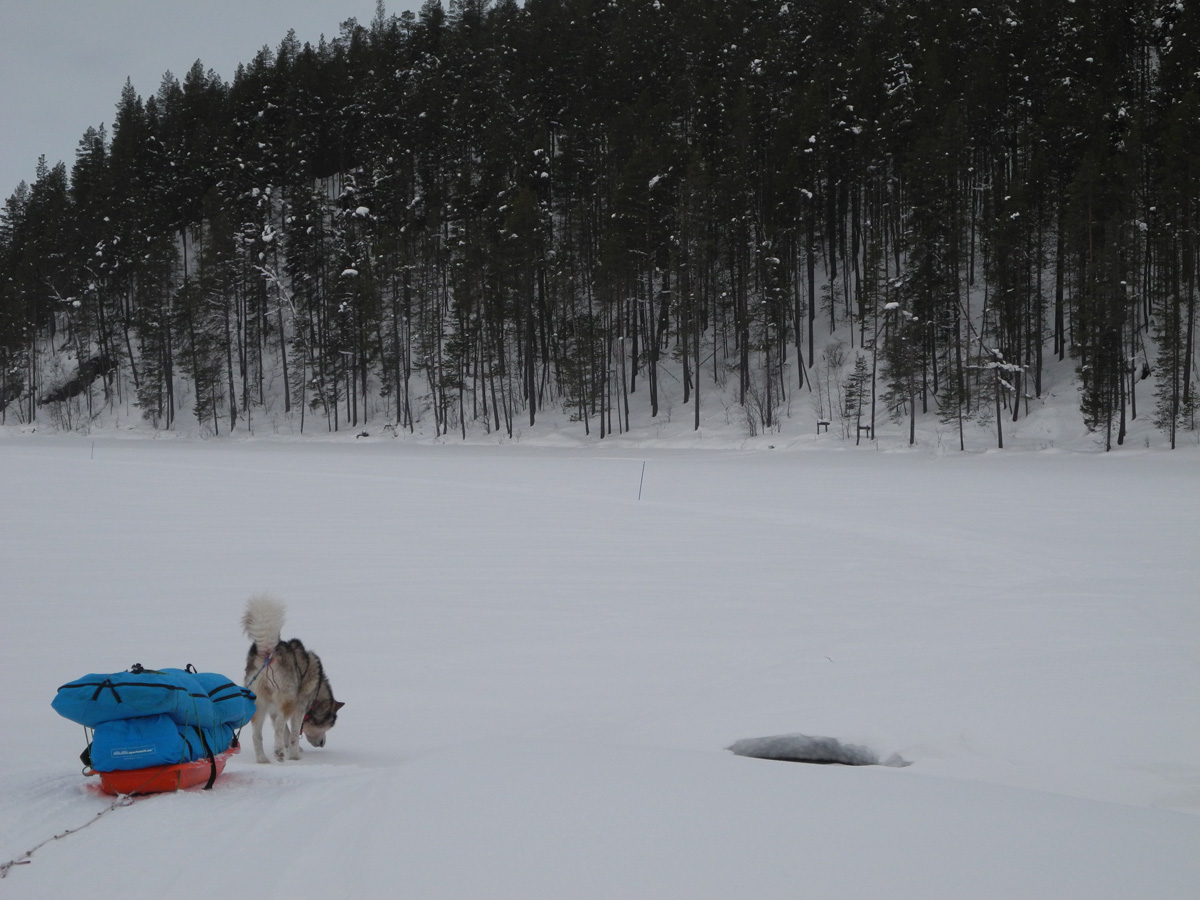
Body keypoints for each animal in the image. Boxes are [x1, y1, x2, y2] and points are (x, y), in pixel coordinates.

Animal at [238, 595, 343, 763]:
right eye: (328, 725)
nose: (322, 743)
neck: (317, 690)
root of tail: (268, 652)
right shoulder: (299, 708)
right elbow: (293, 734)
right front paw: (294, 754)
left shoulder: (273, 710)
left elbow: (286, 732)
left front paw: (289, 748)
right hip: (289, 700)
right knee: (279, 726)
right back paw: (279, 751)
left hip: (259, 704)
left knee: (257, 735)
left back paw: (263, 759)